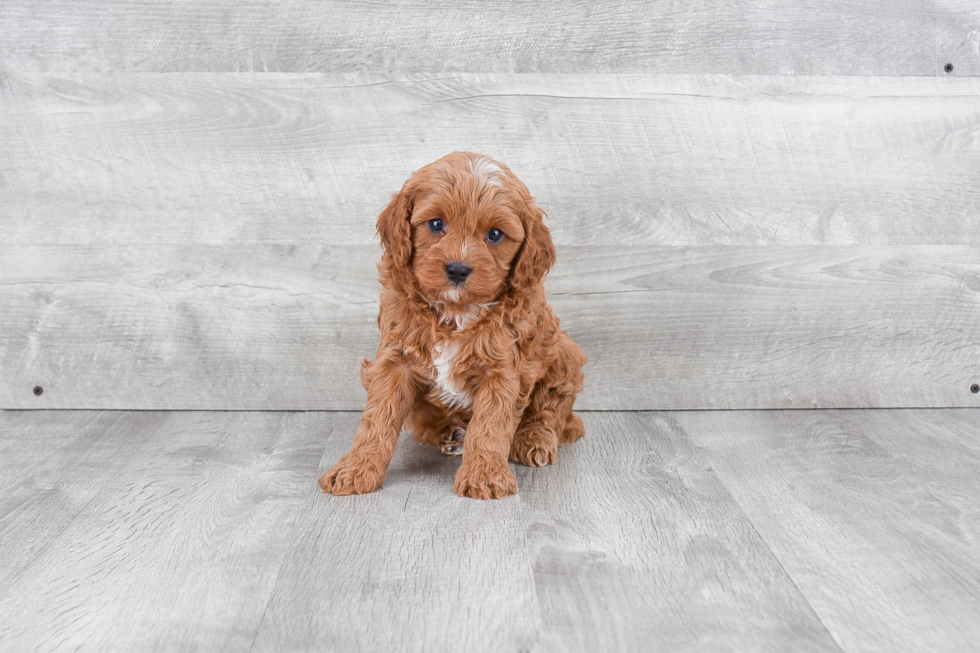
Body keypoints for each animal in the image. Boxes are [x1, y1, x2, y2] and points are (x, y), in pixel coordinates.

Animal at [318, 153, 584, 500]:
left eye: (495, 234)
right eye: (435, 224)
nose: (457, 270)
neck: (456, 312)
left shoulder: (502, 369)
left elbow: (490, 424)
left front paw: (485, 475)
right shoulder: (395, 360)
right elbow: (378, 418)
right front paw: (356, 468)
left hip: (563, 353)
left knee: (551, 410)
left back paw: (533, 439)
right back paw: (449, 434)